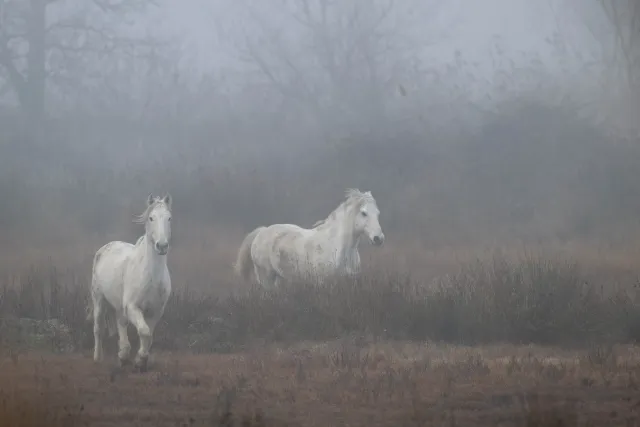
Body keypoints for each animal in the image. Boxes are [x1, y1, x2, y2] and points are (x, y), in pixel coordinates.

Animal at [88, 194, 172, 372]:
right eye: (151, 218)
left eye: (169, 218)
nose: (162, 246)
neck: (151, 276)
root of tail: (105, 248)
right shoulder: (133, 307)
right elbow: (144, 331)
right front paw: (139, 359)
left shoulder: (156, 312)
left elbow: (149, 336)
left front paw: (141, 360)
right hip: (99, 300)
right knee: (98, 328)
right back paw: (98, 358)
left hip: (119, 306)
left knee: (121, 323)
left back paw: (123, 354)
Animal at [235, 189, 384, 290]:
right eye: (364, 213)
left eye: (378, 213)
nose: (379, 238)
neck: (337, 247)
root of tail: (262, 231)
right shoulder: (323, 283)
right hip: (266, 278)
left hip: (279, 278)